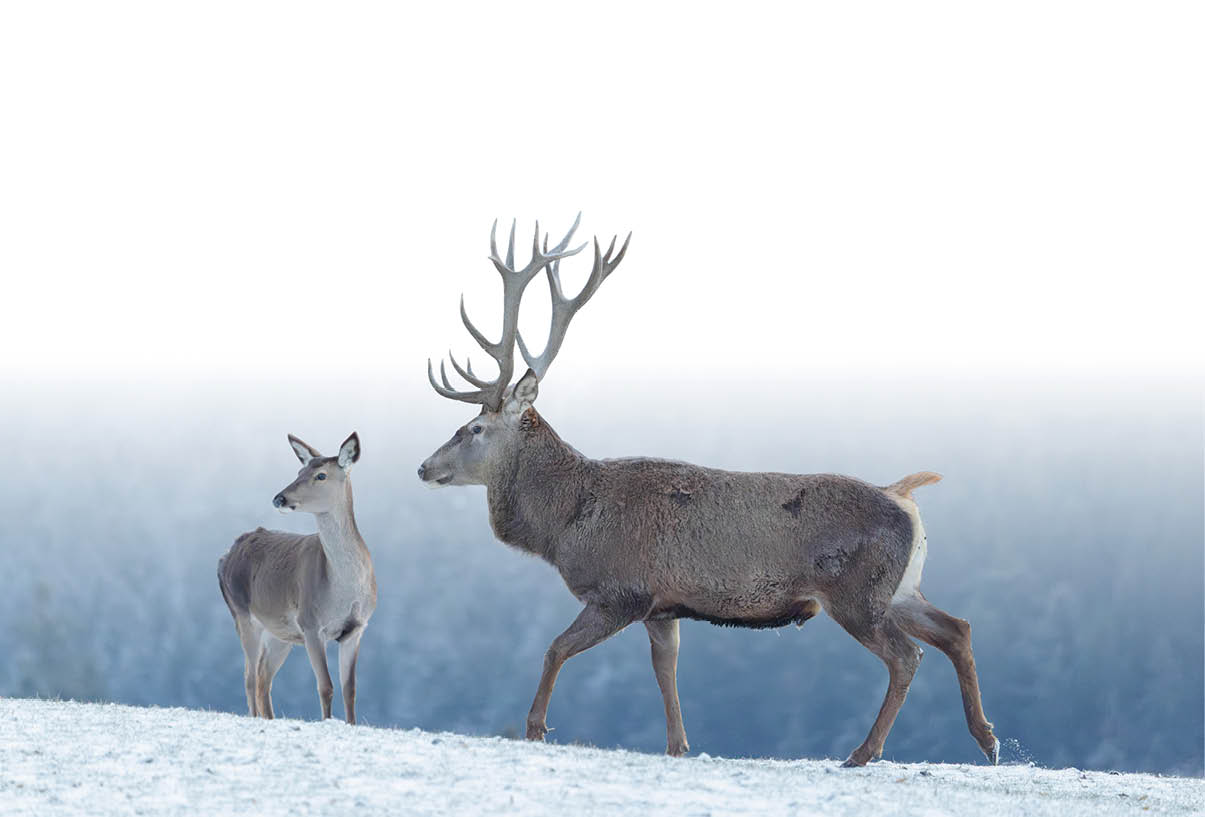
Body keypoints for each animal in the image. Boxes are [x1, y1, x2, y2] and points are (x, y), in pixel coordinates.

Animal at [218, 432, 376, 724]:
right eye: (299, 471)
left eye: (321, 475)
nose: (279, 498)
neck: (342, 589)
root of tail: (226, 554)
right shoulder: (310, 622)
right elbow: (326, 686)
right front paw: (327, 722)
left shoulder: (357, 628)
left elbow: (350, 688)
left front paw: (350, 724)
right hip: (242, 613)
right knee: (248, 676)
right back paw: (255, 718)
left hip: (280, 633)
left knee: (263, 677)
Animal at [417, 215, 999, 767]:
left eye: (473, 429)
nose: (423, 467)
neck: (566, 523)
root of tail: (905, 499)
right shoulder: (662, 607)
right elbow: (665, 673)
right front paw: (678, 746)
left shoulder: (620, 590)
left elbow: (554, 649)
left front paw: (536, 728)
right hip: (899, 588)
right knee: (958, 628)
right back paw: (986, 739)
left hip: (858, 591)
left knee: (907, 655)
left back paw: (864, 751)